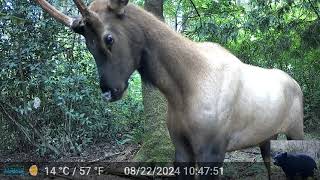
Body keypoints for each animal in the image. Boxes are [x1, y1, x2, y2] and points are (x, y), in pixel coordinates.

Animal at [33, 0, 304, 179]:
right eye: (87, 44)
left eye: (108, 38)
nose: (109, 91)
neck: (181, 90)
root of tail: (297, 84)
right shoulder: (181, 148)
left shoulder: (213, 150)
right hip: (266, 137)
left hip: (296, 131)